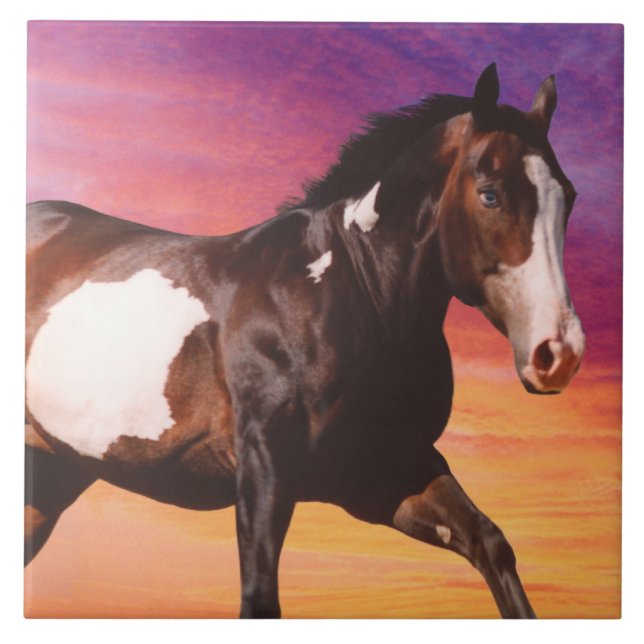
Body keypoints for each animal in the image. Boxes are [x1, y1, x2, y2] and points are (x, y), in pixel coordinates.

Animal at [25, 63, 585, 619]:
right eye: (490, 193)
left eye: (569, 197)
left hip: (50, 479)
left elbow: (491, 544)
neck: (353, 292)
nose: (558, 353)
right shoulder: (265, 471)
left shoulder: (387, 474)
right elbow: (259, 598)